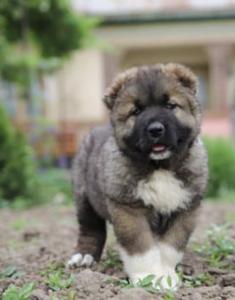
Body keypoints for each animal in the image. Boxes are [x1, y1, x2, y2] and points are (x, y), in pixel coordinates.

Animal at [67, 63, 207, 290]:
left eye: (170, 105)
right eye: (136, 111)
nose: (156, 129)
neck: (159, 167)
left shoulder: (186, 208)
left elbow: (171, 246)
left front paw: (166, 275)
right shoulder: (128, 208)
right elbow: (140, 245)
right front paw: (147, 276)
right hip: (84, 196)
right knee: (90, 228)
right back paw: (84, 257)